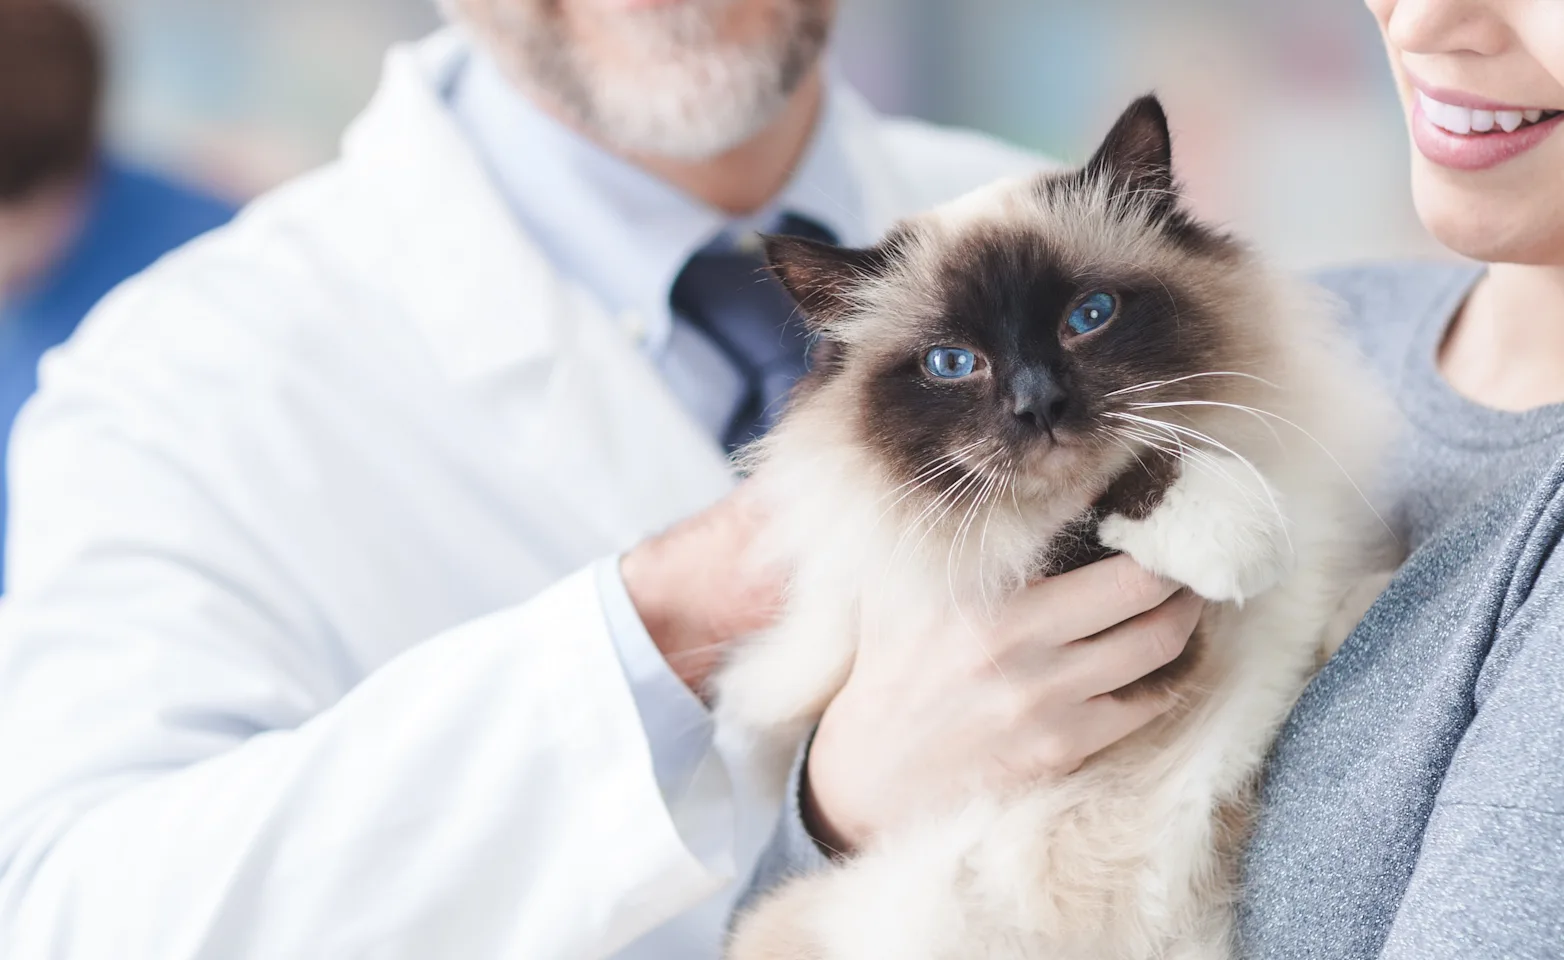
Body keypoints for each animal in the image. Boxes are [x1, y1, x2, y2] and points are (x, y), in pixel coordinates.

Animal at [716, 95, 1401, 960]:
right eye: (952, 364)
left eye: (1089, 317)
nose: (1038, 404)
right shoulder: (1001, 579)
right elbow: (1099, 506)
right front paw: (1244, 540)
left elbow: (1331, 607)